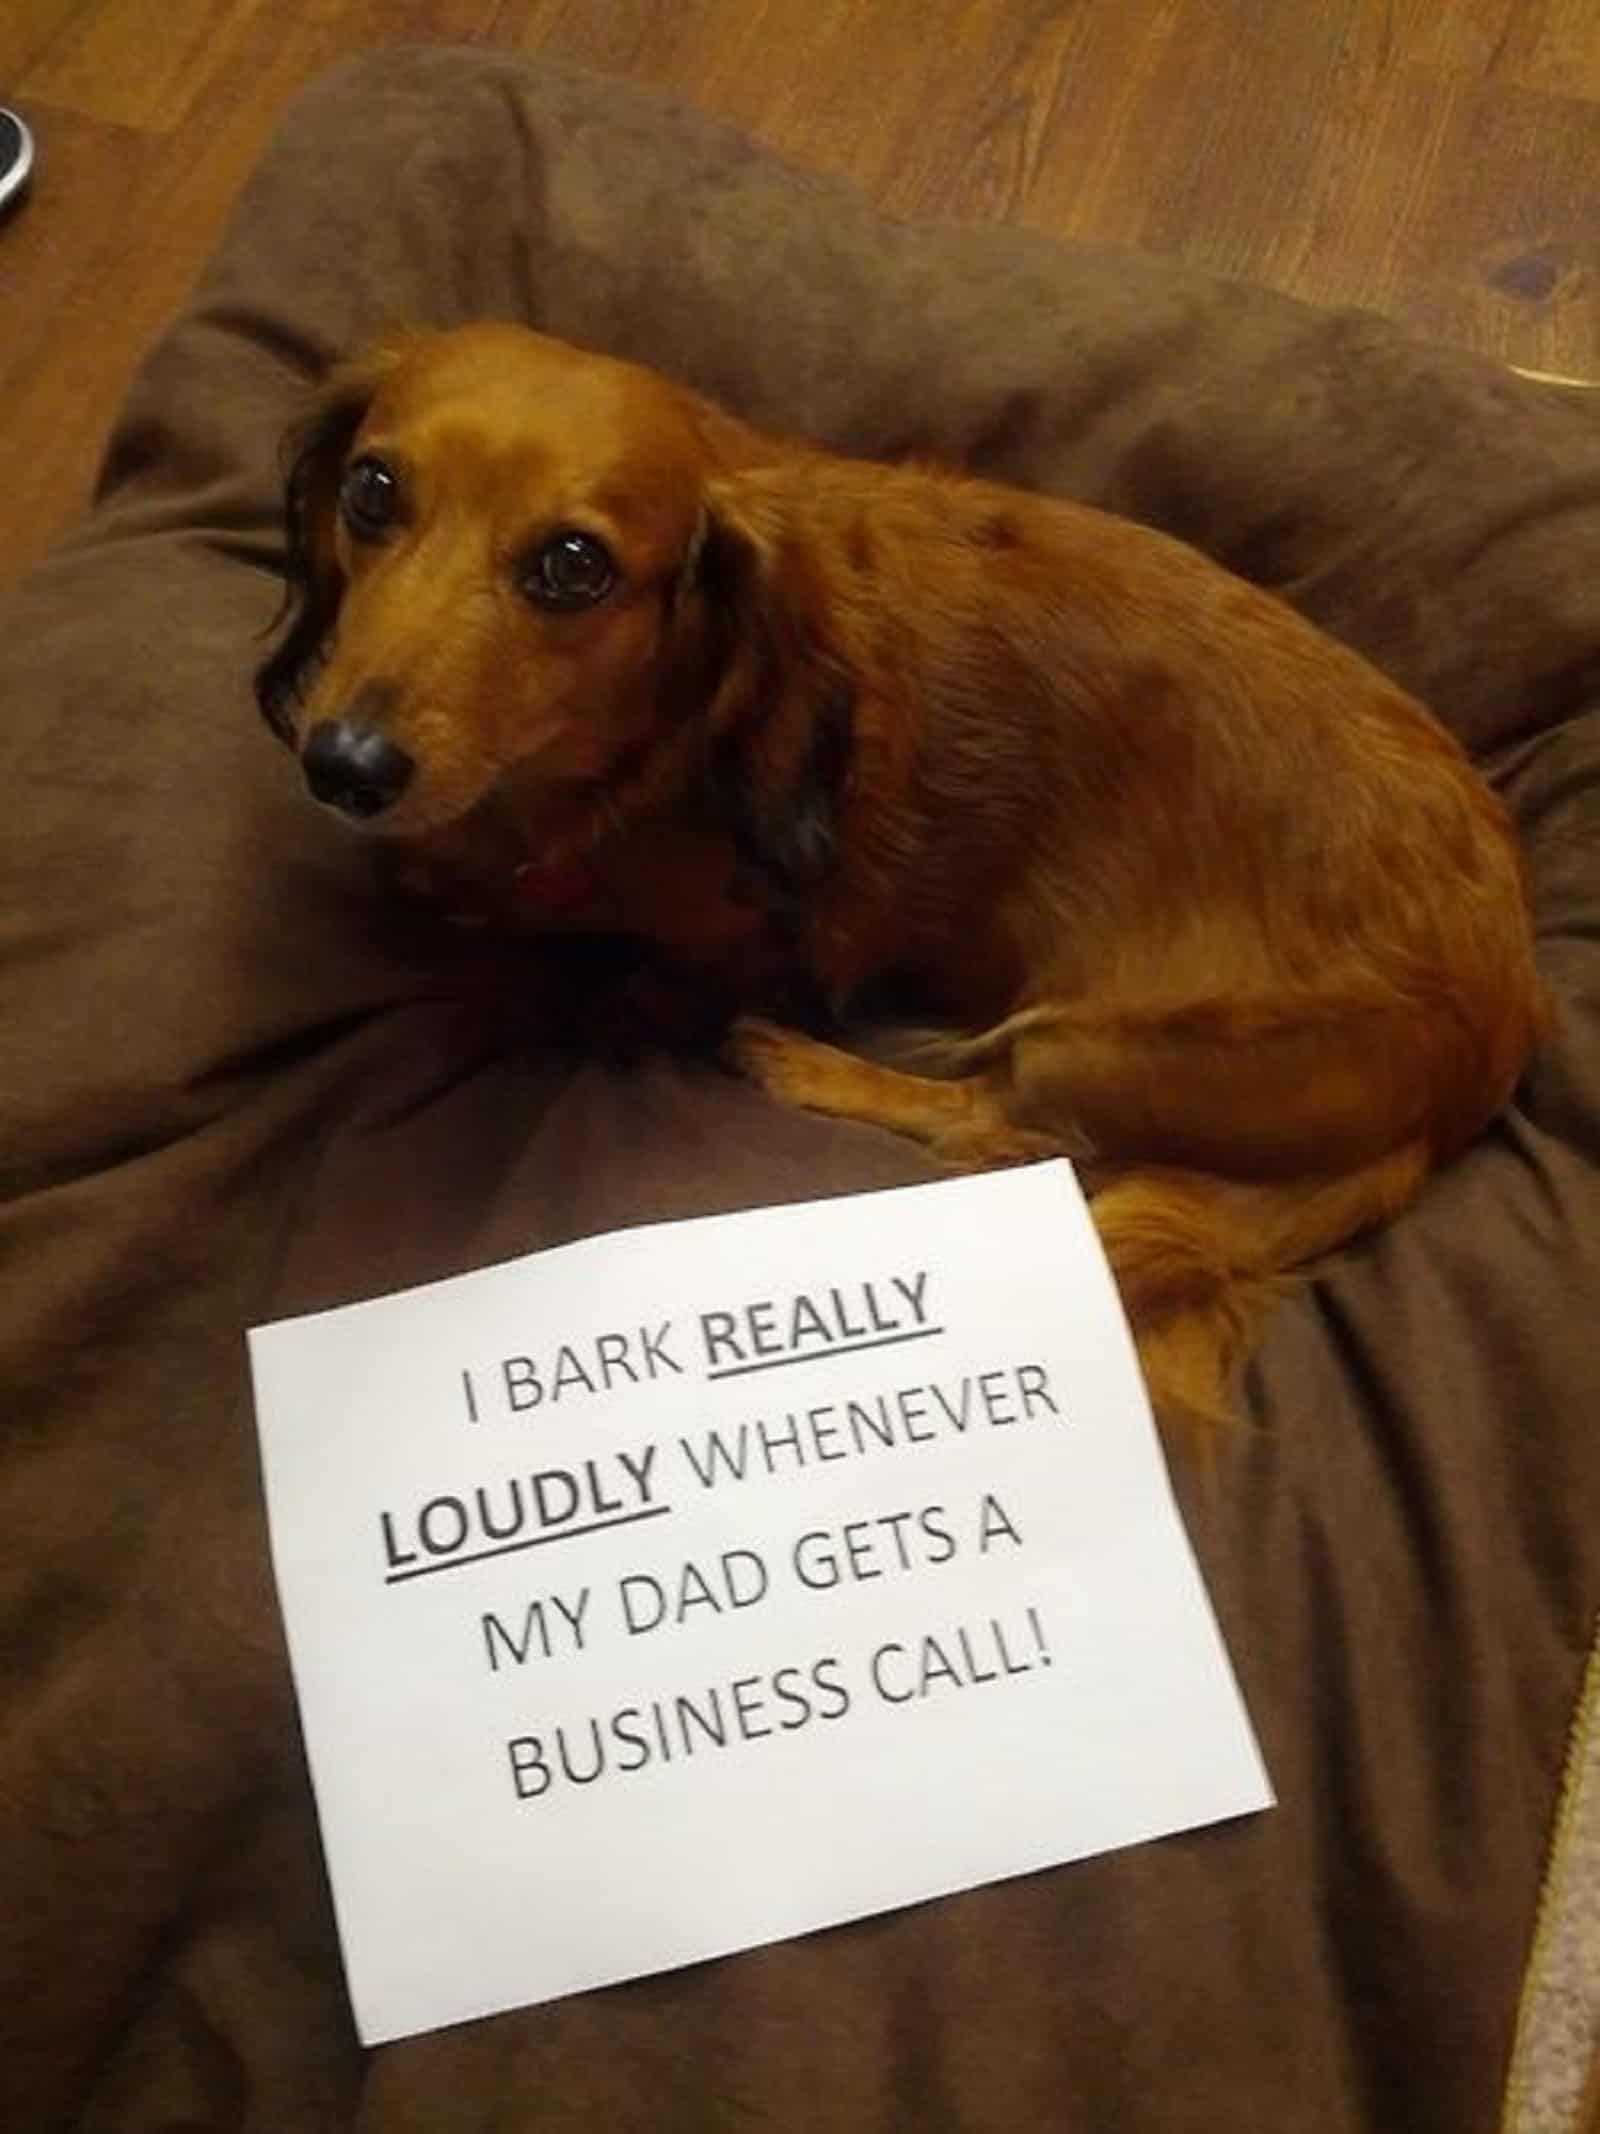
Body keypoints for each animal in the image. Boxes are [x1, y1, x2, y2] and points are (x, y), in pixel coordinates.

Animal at [253, 324, 1553, 1434]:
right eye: (372, 491)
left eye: (572, 565)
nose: (344, 766)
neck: (662, 728)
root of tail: (1476, 1071)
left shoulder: (739, 933)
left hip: (1107, 1042)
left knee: (1005, 1127)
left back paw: (806, 1062)